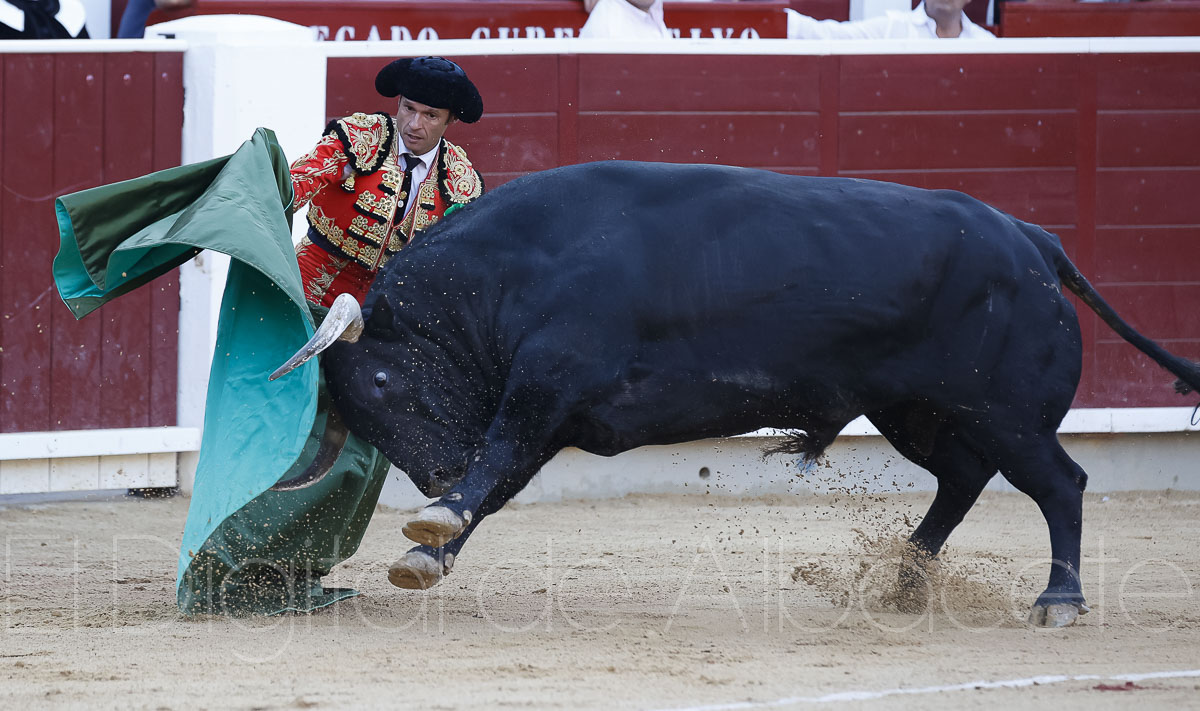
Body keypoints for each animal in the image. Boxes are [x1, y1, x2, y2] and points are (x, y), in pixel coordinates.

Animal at [272, 162, 1200, 629]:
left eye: (383, 379)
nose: (432, 476)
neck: (514, 267)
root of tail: (1033, 240)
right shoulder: (550, 409)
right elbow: (495, 482)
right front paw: (430, 549)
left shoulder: (546, 380)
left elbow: (494, 457)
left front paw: (435, 524)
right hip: (916, 410)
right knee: (964, 479)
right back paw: (906, 581)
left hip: (1004, 412)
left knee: (1060, 484)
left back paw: (1058, 602)